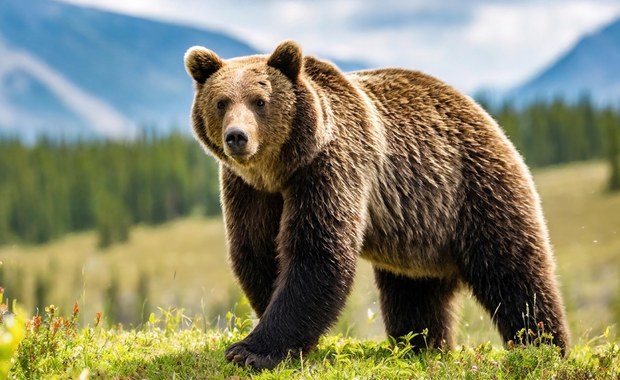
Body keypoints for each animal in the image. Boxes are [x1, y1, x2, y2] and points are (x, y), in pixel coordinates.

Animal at [183, 40, 568, 368]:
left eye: (259, 100)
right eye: (221, 102)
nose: (237, 137)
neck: (281, 169)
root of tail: (485, 115)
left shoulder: (332, 166)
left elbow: (317, 252)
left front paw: (251, 351)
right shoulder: (248, 189)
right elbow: (257, 250)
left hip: (475, 190)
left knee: (515, 274)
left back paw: (544, 347)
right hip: (419, 231)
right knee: (414, 295)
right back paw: (423, 346)